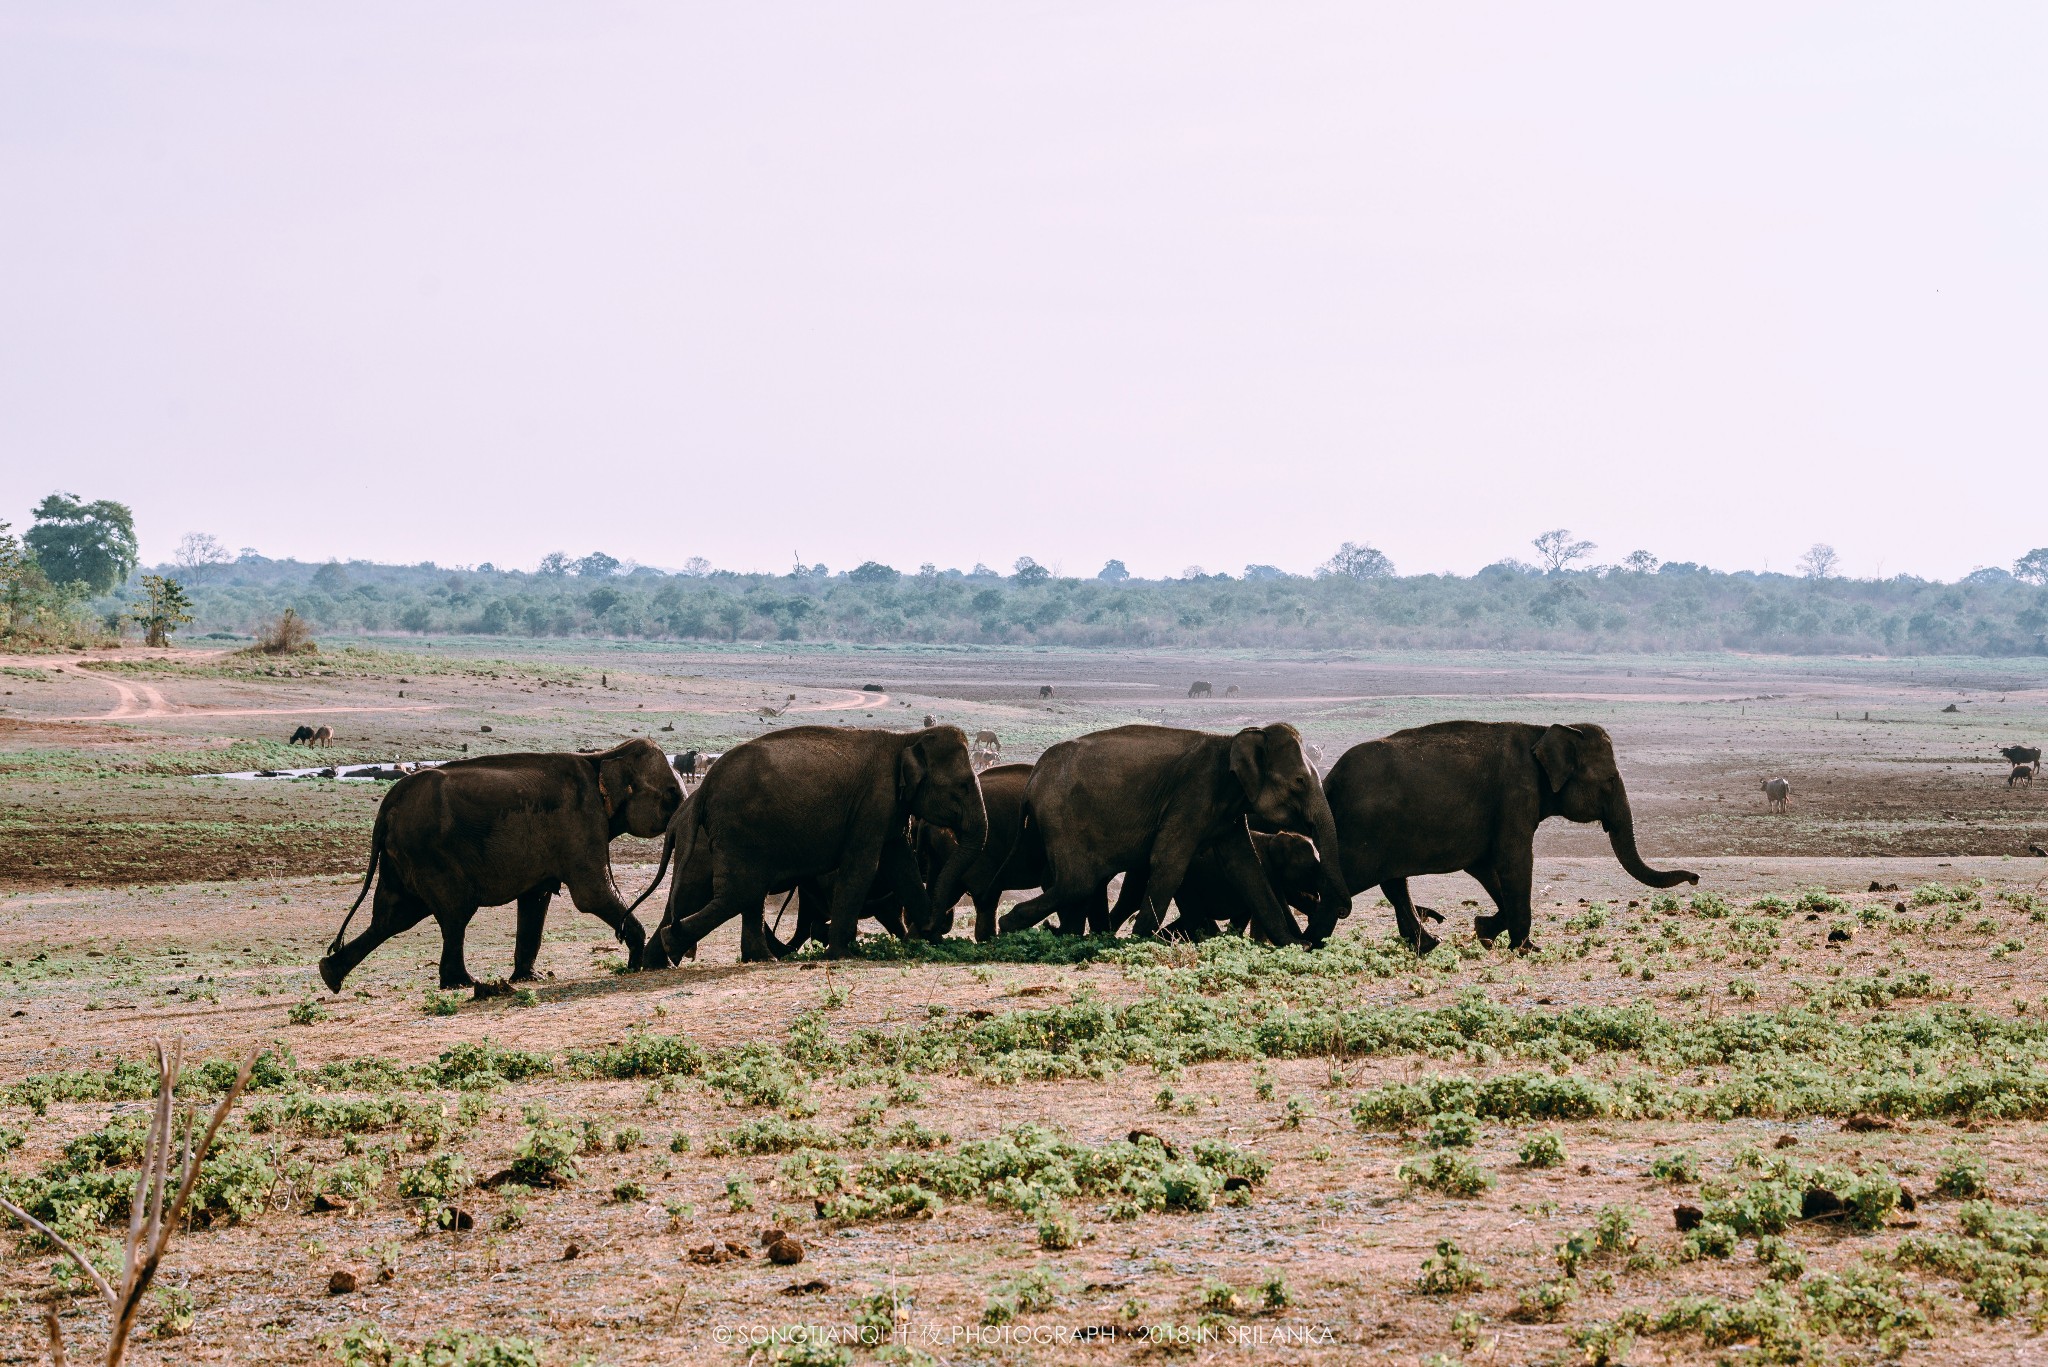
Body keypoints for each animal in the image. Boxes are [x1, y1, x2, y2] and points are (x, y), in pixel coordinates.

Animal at [313, 741, 679, 987]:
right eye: (671, 795)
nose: (634, 960)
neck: (603, 757)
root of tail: (389, 803)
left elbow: (536, 900)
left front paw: (530, 978)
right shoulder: (582, 819)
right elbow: (591, 894)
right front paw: (636, 963)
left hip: (400, 855)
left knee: (394, 916)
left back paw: (330, 975)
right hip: (429, 852)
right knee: (453, 913)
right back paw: (464, 983)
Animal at [643, 725, 987, 963]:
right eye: (962, 787)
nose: (934, 923)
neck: (906, 739)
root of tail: (704, 788)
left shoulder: (892, 808)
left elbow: (901, 865)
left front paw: (930, 938)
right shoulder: (873, 802)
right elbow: (864, 866)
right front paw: (841, 955)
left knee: (748, 892)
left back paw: (756, 958)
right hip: (738, 828)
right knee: (742, 891)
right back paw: (673, 943)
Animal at [999, 725, 1351, 942]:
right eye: (1299, 782)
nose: (1343, 910)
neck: (1232, 742)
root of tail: (1034, 777)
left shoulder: (1228, 813)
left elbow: (1246, 868)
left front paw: (1293, 944)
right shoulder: (1193, 794)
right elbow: (1168, 861)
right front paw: (1142, 941)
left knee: (1080, 883)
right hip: (1062, 818)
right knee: (1078, 881)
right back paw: (1010, 927)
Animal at [1327, 721, 1695, 959]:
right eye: (1608, 779)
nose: (1694, 878)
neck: (1544, 731)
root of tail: (1329, 780)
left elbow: (1488, 867)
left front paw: (1484, 932)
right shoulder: (1516, 794)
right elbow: (1514, 860)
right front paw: (1527, 948)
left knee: (1394, 884)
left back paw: (1428, 945)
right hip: (1362, 833)